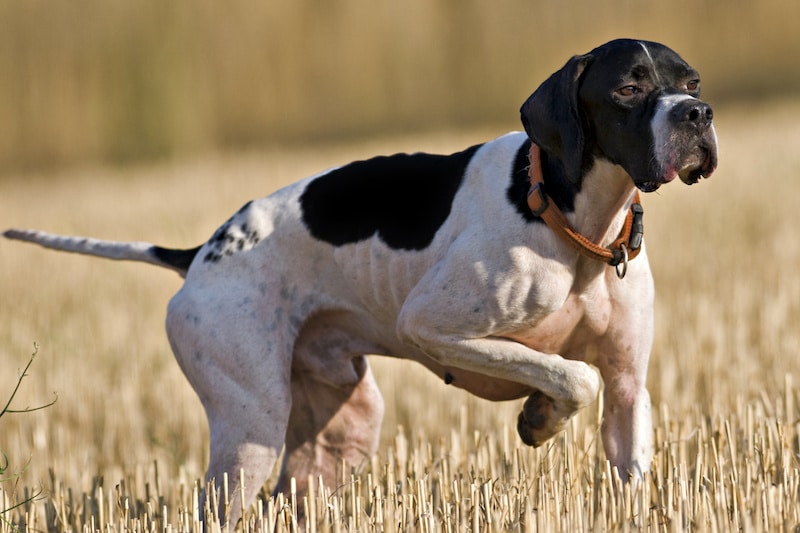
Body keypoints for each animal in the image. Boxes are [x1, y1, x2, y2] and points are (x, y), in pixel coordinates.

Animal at [3, 38, 720, 524]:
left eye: (690, 80)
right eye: (628, 88)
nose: (697, 113)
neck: (576, 226)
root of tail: (202, 250)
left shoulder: (628, 391)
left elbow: (610, 418)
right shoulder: (434, 327)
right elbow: (568, 373)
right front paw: (540, 418)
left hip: (338, 432)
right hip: (249, 429)